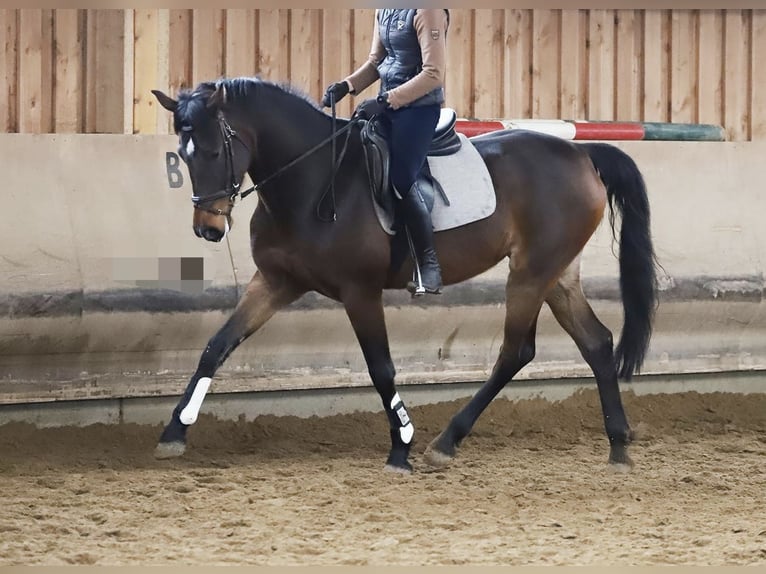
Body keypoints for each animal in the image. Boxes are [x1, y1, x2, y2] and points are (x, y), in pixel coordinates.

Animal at [151, 77, 658, 474]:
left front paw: (402, 447)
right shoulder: (276, 282)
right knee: (596, 342)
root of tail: (580, 153)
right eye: (183, 155)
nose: (208, 229)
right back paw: (617, 447)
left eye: (214, 150)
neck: (315, 179)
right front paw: (174, 432)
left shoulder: (360, 291)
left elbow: (381, 368)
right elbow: (216, 346)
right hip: (557, 275)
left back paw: (445, 443)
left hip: (531, 274)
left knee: (517, 352)